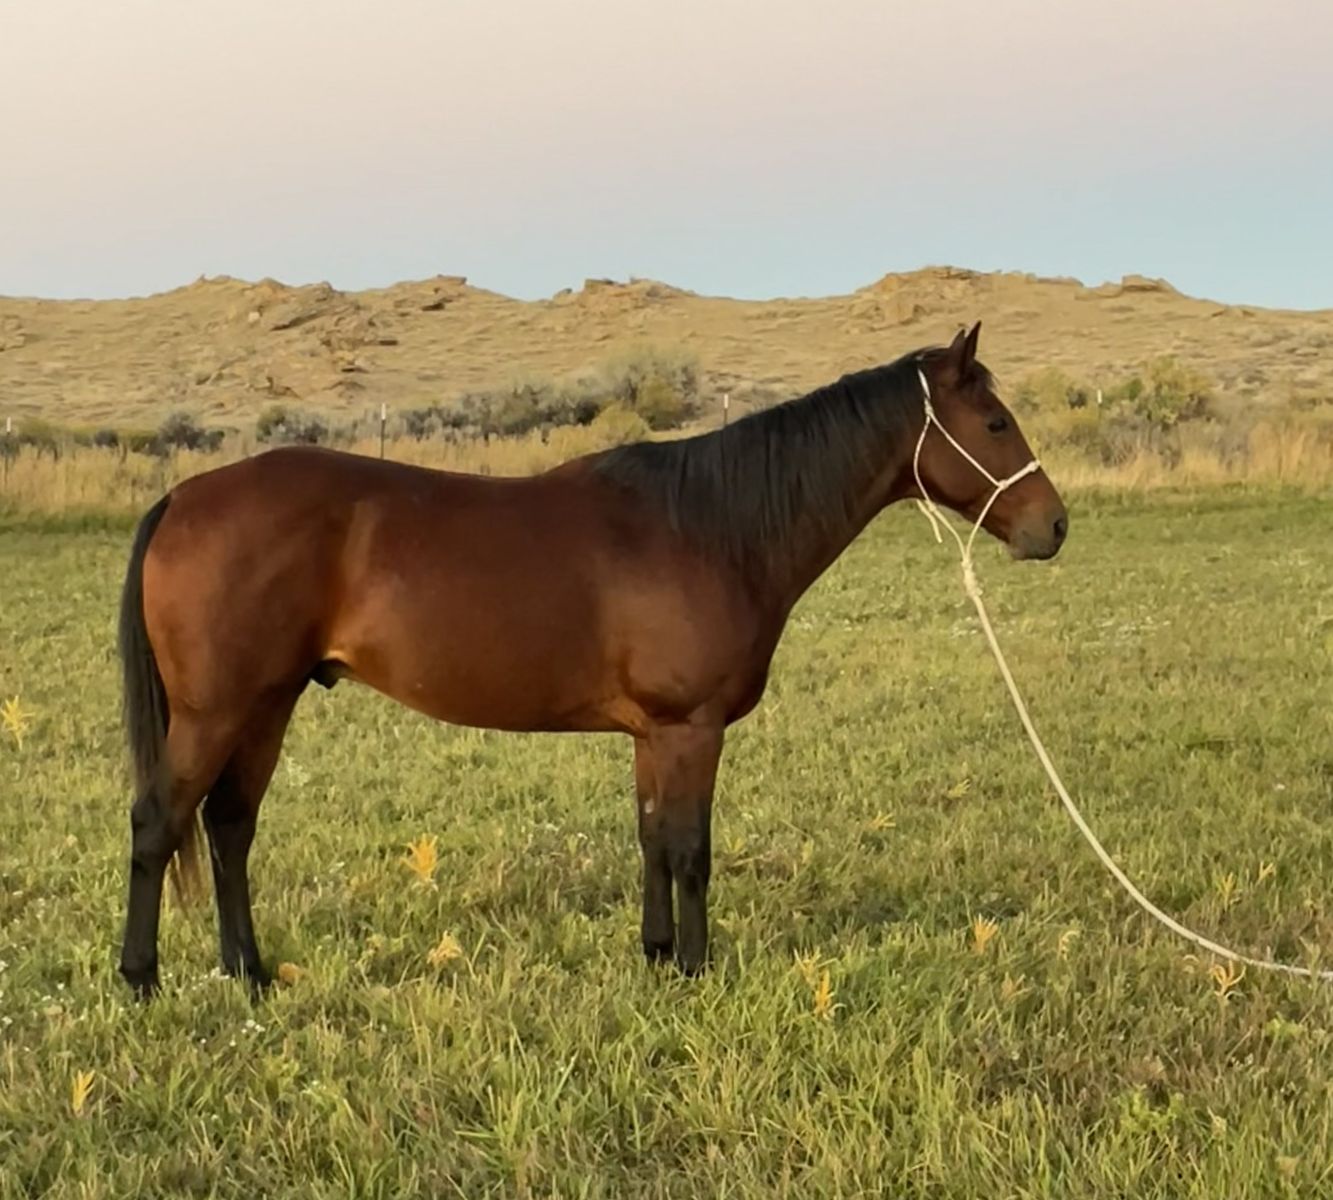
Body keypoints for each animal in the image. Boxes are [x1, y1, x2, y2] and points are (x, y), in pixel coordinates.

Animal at [115, 322, 1068, 998]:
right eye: (993, 421)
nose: (1051, 526)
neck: (711, 529)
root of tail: (184, 497)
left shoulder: (651, 735)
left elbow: (649, 838)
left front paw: (655, 955)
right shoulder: (690, 729)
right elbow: (689, 847)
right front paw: (695, 971)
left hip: (266, 706)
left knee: (229, 827)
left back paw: (249, 973)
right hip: (216, 711)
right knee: (159, 822)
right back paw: (142, 978)